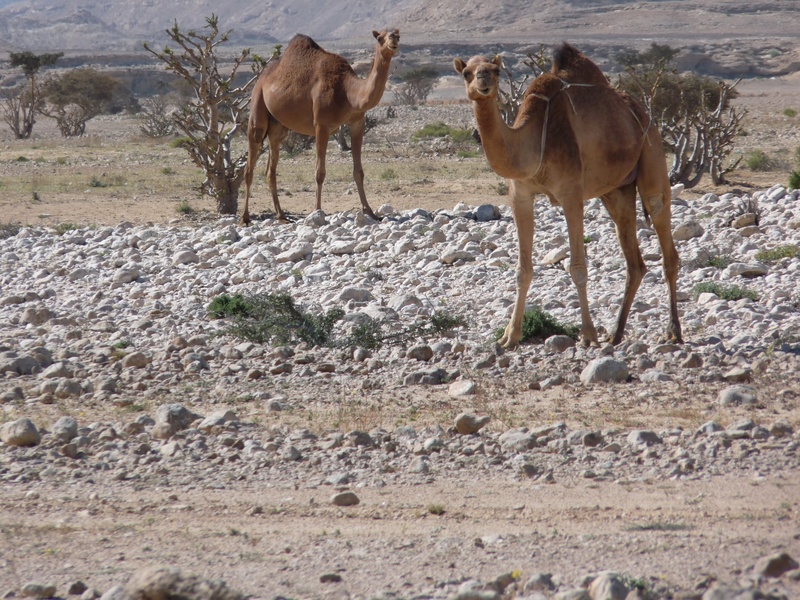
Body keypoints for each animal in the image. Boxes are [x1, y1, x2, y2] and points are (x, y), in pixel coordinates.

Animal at [241, 28, 400, 224]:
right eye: (379, 38)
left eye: (397, 34)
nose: (393, 38)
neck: (347, 91)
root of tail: (262, 78)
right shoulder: (321, 125)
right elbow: (320, 173)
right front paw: (317, 211)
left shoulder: (357, 122)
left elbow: (358, 171)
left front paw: (370, 212)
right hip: (258, 107)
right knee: (250, 164)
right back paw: (245, 218)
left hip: (278, 127)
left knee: (270, 169)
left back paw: (282, 216)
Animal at [454, 43, 682, 348]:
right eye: (466, 72)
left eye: (496, 70)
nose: (483, 80)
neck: (533, 140)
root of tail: (639, 111)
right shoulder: (520, 196)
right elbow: (523, 270)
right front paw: (509, 337)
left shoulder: (571, 193)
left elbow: (577, 267)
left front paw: (587, 335)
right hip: (616, 190)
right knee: (634, 261)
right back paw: (616, 333)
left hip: (652, 152)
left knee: (663, 233)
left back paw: (673, 331)